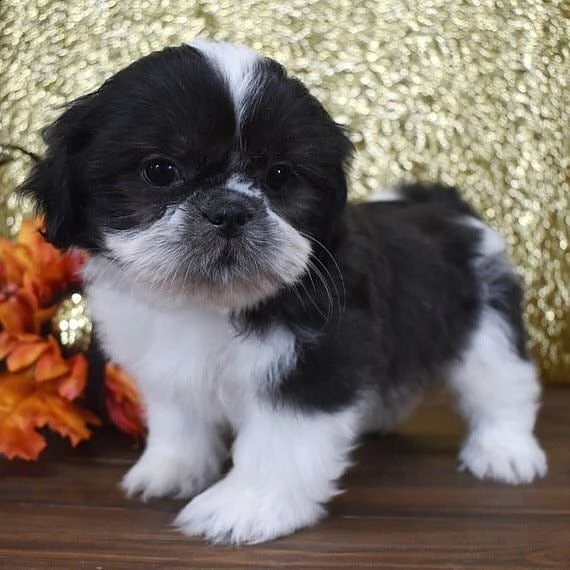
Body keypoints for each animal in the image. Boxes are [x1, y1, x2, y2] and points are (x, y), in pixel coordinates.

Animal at [23, 40, 544, 540]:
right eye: (160, 170)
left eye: (278, 176)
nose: (230, 210)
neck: (209, 305)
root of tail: (446, 207)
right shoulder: (165, 363)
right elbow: (178, 419)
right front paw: (171, 468)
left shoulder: (315, 362)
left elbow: (280, 444)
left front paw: (247, 507)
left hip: (485, 325)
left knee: (503, 385)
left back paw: (505, 451)